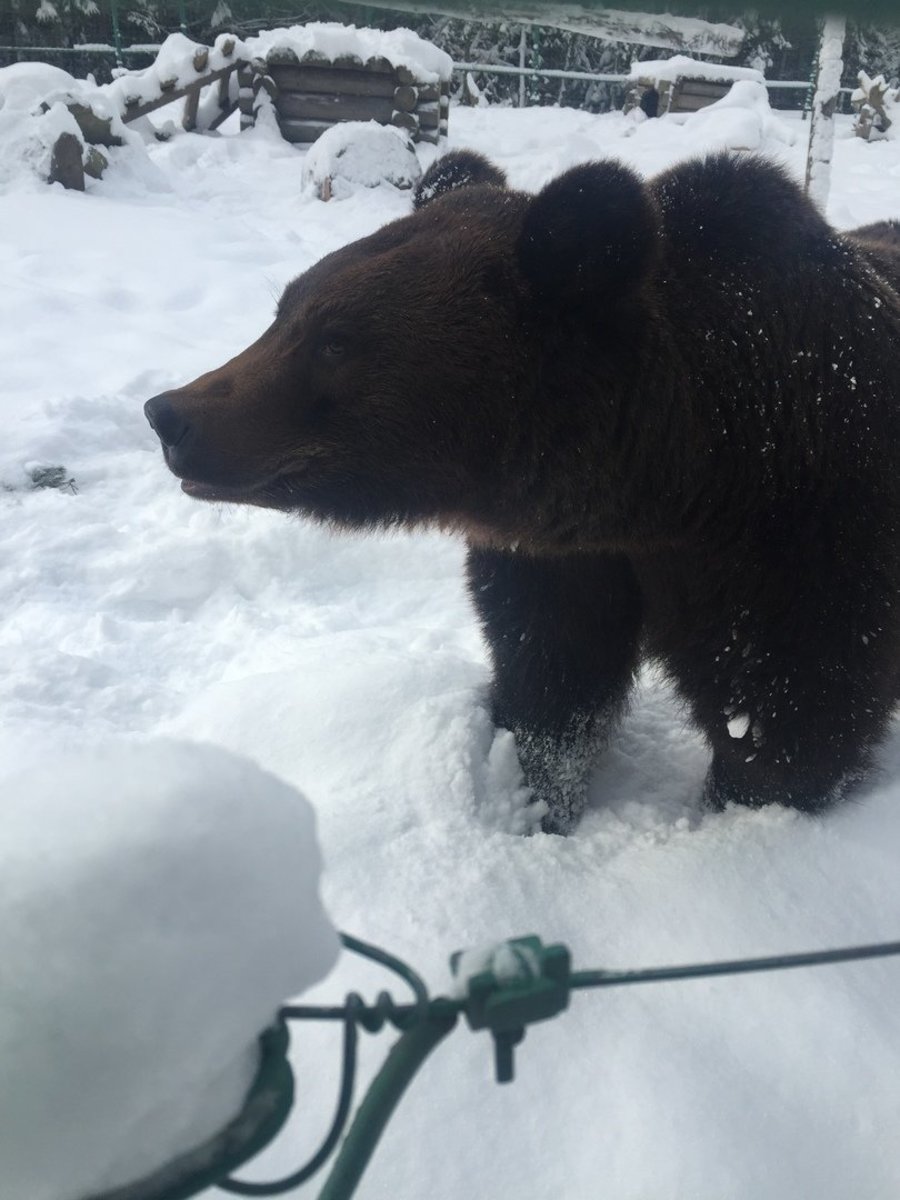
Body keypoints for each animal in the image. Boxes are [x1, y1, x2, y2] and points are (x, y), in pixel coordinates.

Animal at [144, 152, 900, 835]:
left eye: (335, 341)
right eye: (284, 311)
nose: (170, 414)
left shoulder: (806, 546)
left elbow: (787, 720)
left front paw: (747, 811)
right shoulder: (566, 560)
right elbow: (551, 683)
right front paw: (537, 802)